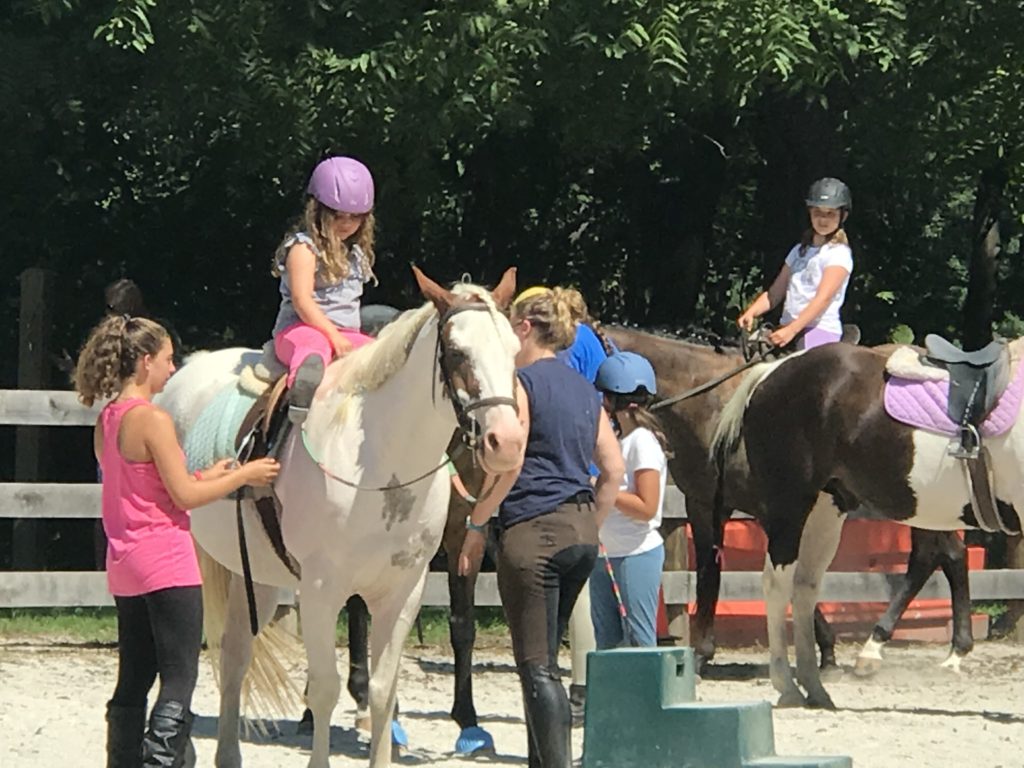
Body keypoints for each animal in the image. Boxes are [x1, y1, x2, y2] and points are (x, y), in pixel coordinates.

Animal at [161, 268, 528, 765]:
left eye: (513, 350)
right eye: (456, 352)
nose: (506, 442)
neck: (380, 465)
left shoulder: (403, 592)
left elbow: (383, 691)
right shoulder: (320, 592)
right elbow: (326, 690)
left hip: (254, 575)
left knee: (235, 655)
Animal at [712, 342, 1024, 708]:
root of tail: (773, 371)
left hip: (826, 510)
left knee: (805, 586)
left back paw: (817, 686)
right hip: (790, 506)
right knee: (778, 585)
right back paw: (789, 686)